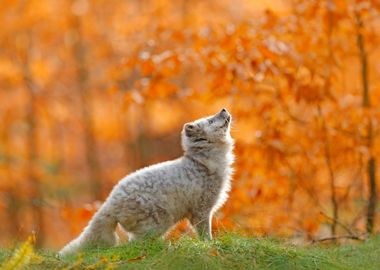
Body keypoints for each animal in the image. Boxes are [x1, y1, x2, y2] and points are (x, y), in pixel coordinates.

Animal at [58, 108, 235, 258]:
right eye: (210, 120)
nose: (224, 109)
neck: (203, 162)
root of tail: (109, 202)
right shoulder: (201, 210)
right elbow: (206, 235)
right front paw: (211, 247)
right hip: (160, 222)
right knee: (137, 245)